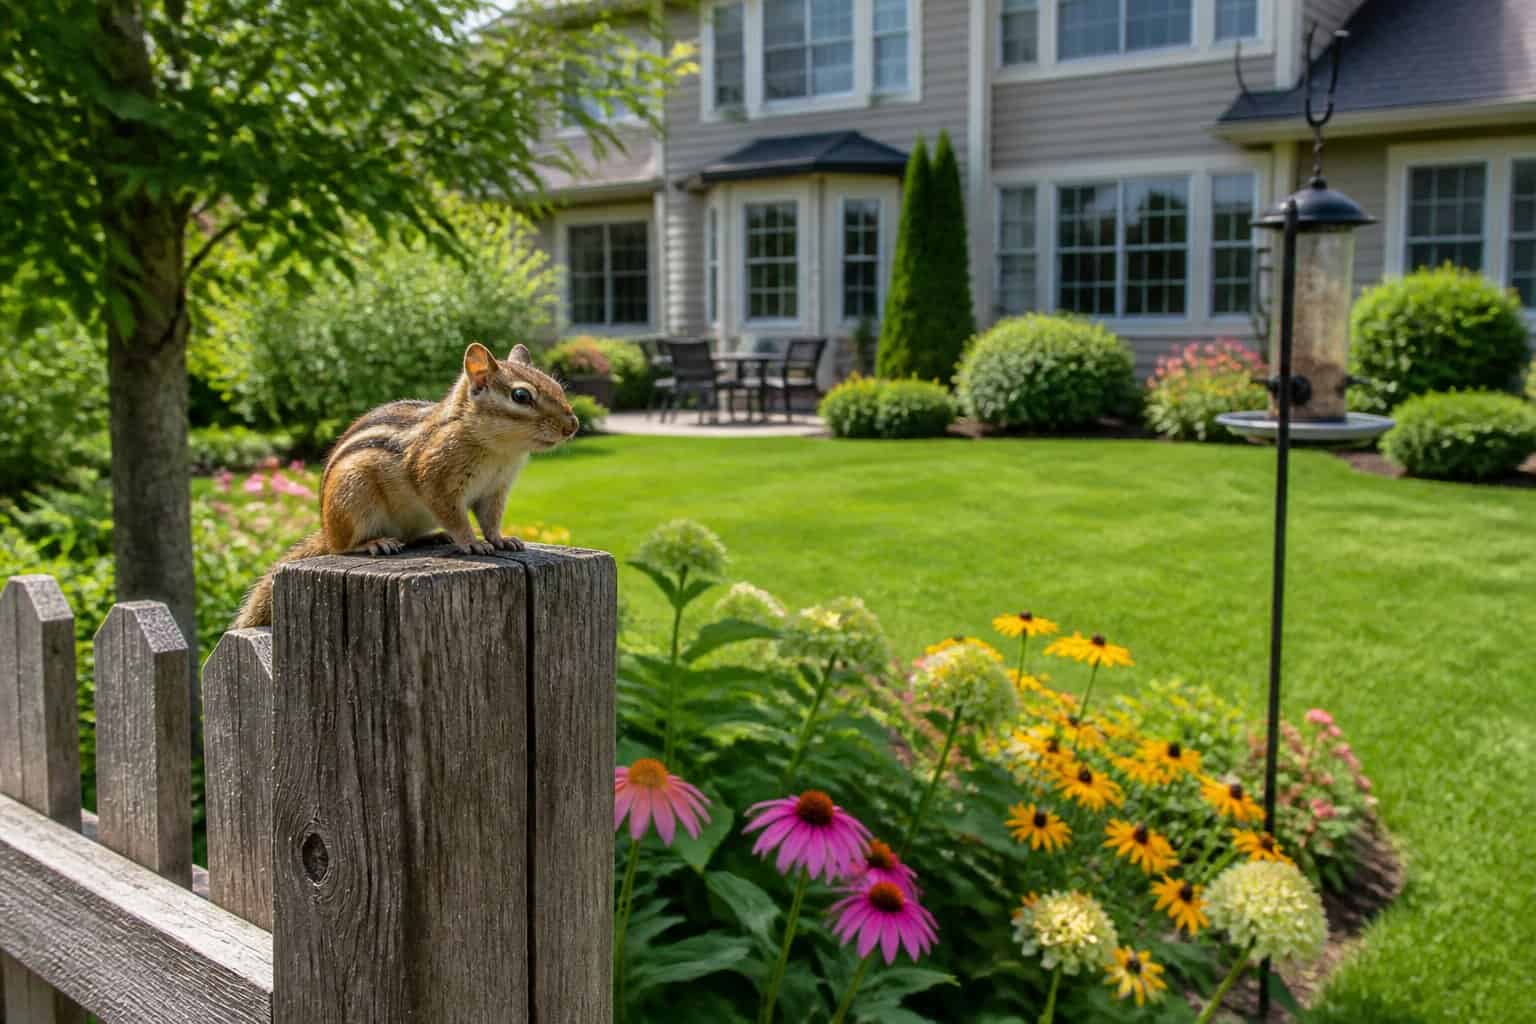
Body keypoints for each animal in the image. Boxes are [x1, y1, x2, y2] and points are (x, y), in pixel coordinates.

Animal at [232, 342, 579, 629]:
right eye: (521, 396)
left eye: (557, 387)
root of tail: (326, 529)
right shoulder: (435, 480)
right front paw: (473, 543)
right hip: (353, 497)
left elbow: (490, 520)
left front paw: (501, 540)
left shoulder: (495, 490)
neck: (499, 450)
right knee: (342, 546)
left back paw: (432, 537)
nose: (573, 425)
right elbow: (456, 517)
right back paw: (375, 543)